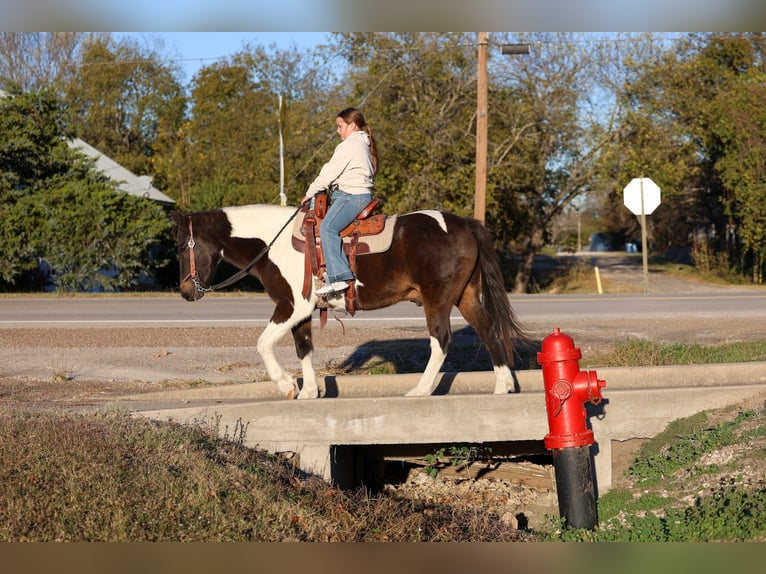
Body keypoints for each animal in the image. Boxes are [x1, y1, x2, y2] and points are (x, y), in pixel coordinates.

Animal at [171, 204, 528, 400]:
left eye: (180, 246)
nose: (186, 291)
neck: (273, 243)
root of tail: (465, 224)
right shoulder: (303, 313)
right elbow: (304, 348)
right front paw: (309, 392)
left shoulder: (291, 305)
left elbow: (263, 343)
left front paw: (287, 385)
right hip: (466, 296)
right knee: (488, 331)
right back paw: (503, 385)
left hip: (436, 299)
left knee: (441, 340)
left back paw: (421, 389)